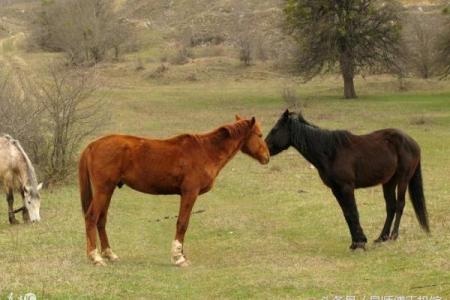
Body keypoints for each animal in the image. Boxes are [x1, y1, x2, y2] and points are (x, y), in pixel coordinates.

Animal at [78, 116, 268, 266]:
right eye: (259, 135)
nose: (267, 157)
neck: (205, 151)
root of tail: (92, 145)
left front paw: (182, 254)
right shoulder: (189, 193)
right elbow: (182, 223)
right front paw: (179, 257)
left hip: (108, 191)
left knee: (101, 220)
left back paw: (109, 254)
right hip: (103, 190)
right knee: (91, 217)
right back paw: (96, 257)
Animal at [266, 110, 430, 251]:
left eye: (274, 130)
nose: (265, 150)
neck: (330, 152)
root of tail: (413, 143)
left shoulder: (346, 188)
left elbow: (353, 212)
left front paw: (360, 243)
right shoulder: (336, 190)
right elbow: (347, 214)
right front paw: (355, 243)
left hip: (403, 179)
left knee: (400, 204)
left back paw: (393, 236)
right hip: (389, 182)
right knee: (391, 206)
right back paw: (382, 237)